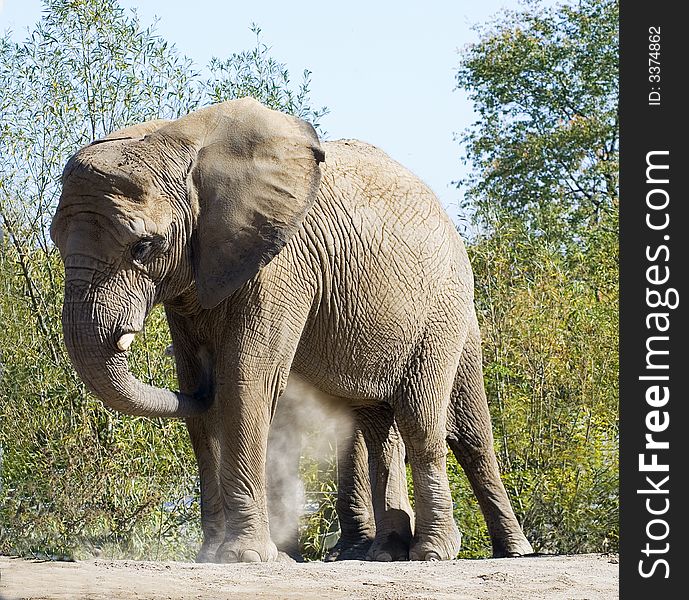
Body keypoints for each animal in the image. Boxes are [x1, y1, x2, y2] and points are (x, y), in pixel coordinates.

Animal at [51, 97, 532, 564]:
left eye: (145, 246)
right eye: (54, 241)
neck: (180, 144)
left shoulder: (283, 264)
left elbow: (247, 378)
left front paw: (245, 558)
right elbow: (198, 392)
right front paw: (213, 555)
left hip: (443, 308)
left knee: (432, 421)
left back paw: (450, 553)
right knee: (379, 422)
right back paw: (386, 552)